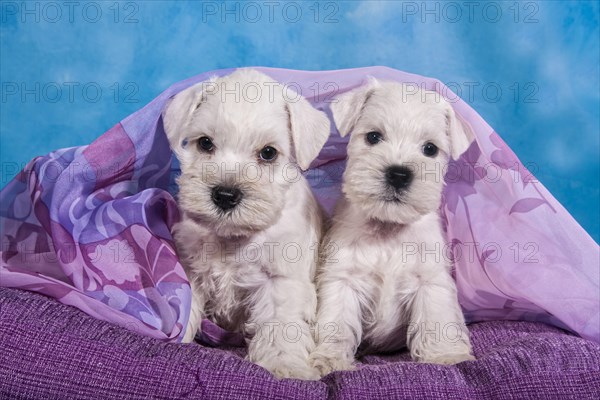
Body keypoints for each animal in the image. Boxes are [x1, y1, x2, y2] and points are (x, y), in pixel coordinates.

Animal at [162, 69, 330, 382]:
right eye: (205, 143)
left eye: (268, 153)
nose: (225, 195)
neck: (233, 237)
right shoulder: (193, 270)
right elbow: (188, 309)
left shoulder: (280, 281)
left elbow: (281, 327)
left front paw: (284, 366)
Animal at [310, 79, 474, 376]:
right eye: (373, 136)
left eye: (430, 149)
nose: (398, 174)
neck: (388, 228)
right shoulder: (342, 280)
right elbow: (336, 324)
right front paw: (328, 359)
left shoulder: (429, 281)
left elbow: (436, 320)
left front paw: (445, 356)